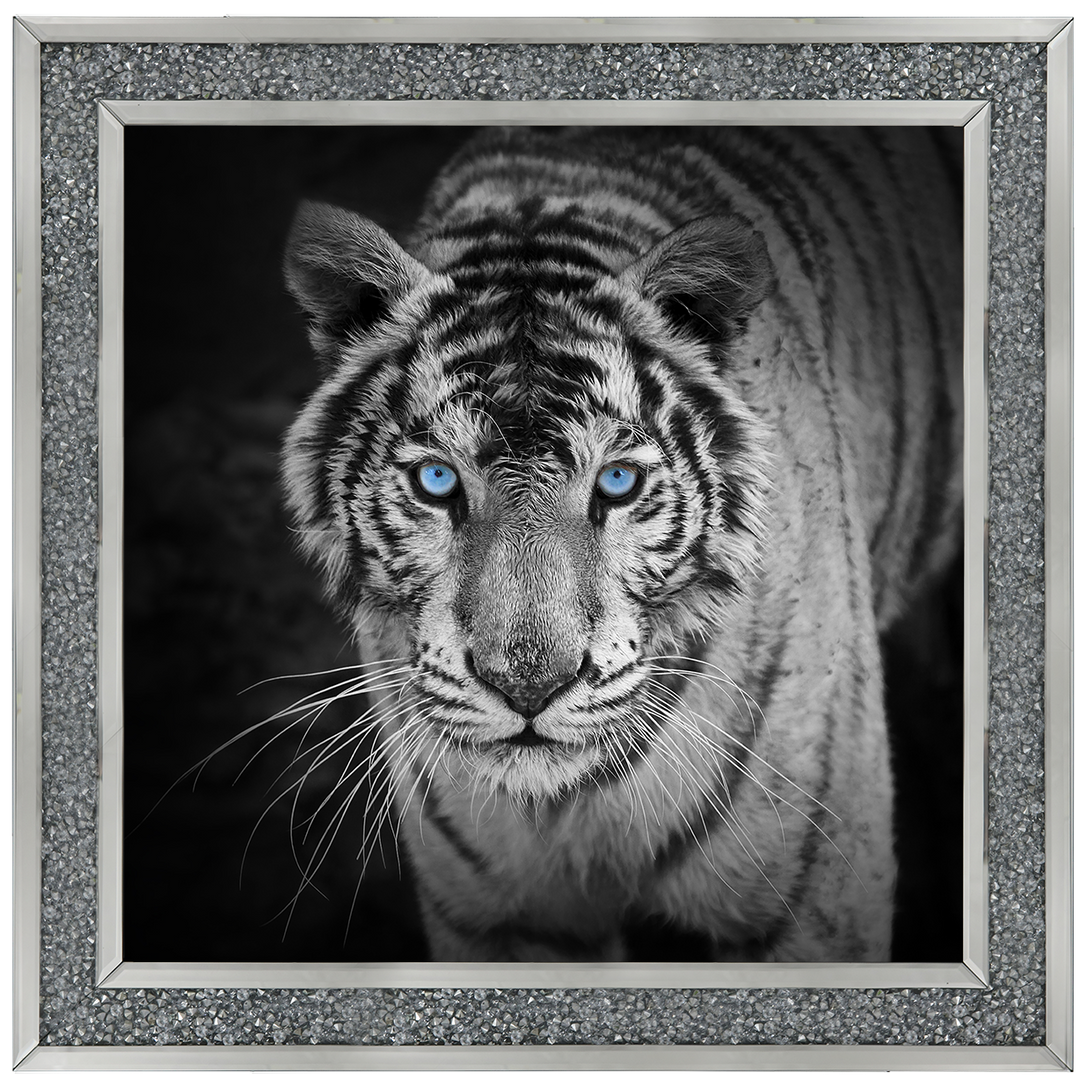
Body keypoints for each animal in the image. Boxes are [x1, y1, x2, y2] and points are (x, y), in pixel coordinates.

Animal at [280, 126, 963, 963]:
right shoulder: (500, 919)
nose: (529, 688)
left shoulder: (812, 902)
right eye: (438, 480)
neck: (570, 804)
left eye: (617, 483)